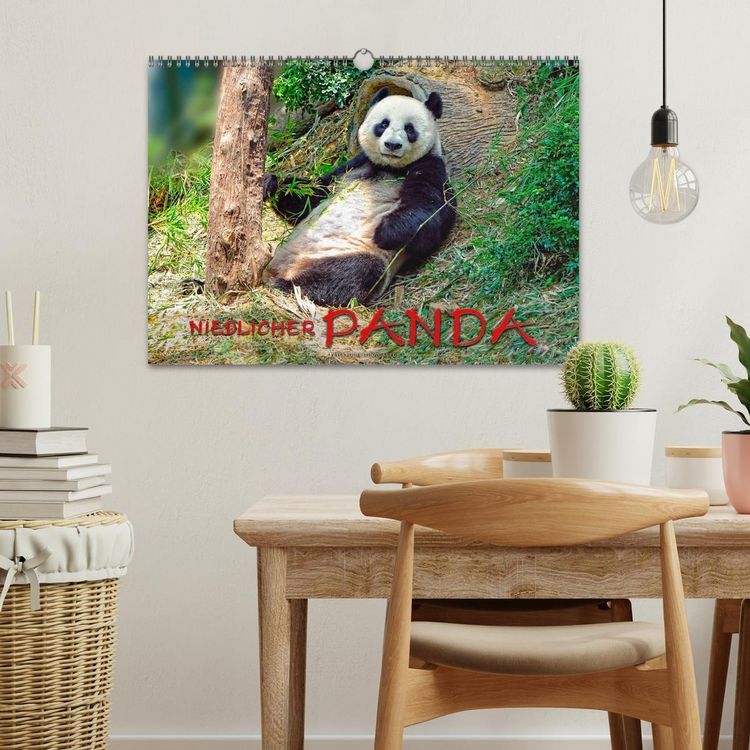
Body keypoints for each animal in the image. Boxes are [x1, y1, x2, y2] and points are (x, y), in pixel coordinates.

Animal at [262, 88, 457, 307]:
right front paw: (271, 183)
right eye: (383, 124)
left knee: (351, 273)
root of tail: (284, 268)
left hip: (346, 252)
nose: (392, 145)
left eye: (409, 129)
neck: (389, 167)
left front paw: (385, 232)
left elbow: (431, 214)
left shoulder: (430, 166)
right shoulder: (353, 165)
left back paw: (288, 286)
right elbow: (312, 197)